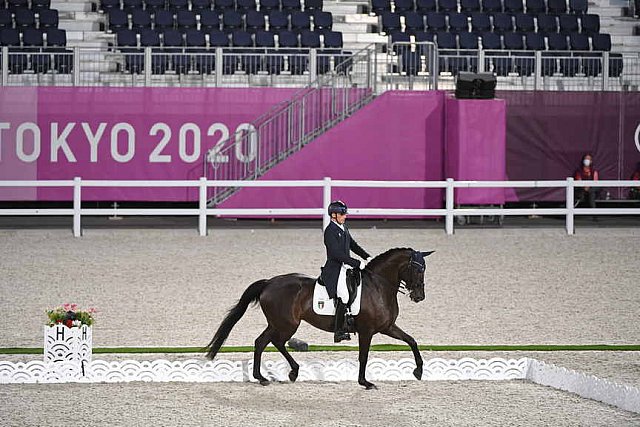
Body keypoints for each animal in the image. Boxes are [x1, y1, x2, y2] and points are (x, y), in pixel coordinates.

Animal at [205, 247, 436, 392]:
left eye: (424, 269)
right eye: (417, 269)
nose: (419, 296)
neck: (379, 286)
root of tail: (269, 282)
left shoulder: (387, 327)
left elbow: (412, 340)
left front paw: (418, 370)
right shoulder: (367, 331)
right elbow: (363, 356)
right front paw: (365, 382)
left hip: (280, 324)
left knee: (269, 342)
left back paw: (282, 374)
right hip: (286, 324)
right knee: (268, 342)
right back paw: (269, 376)